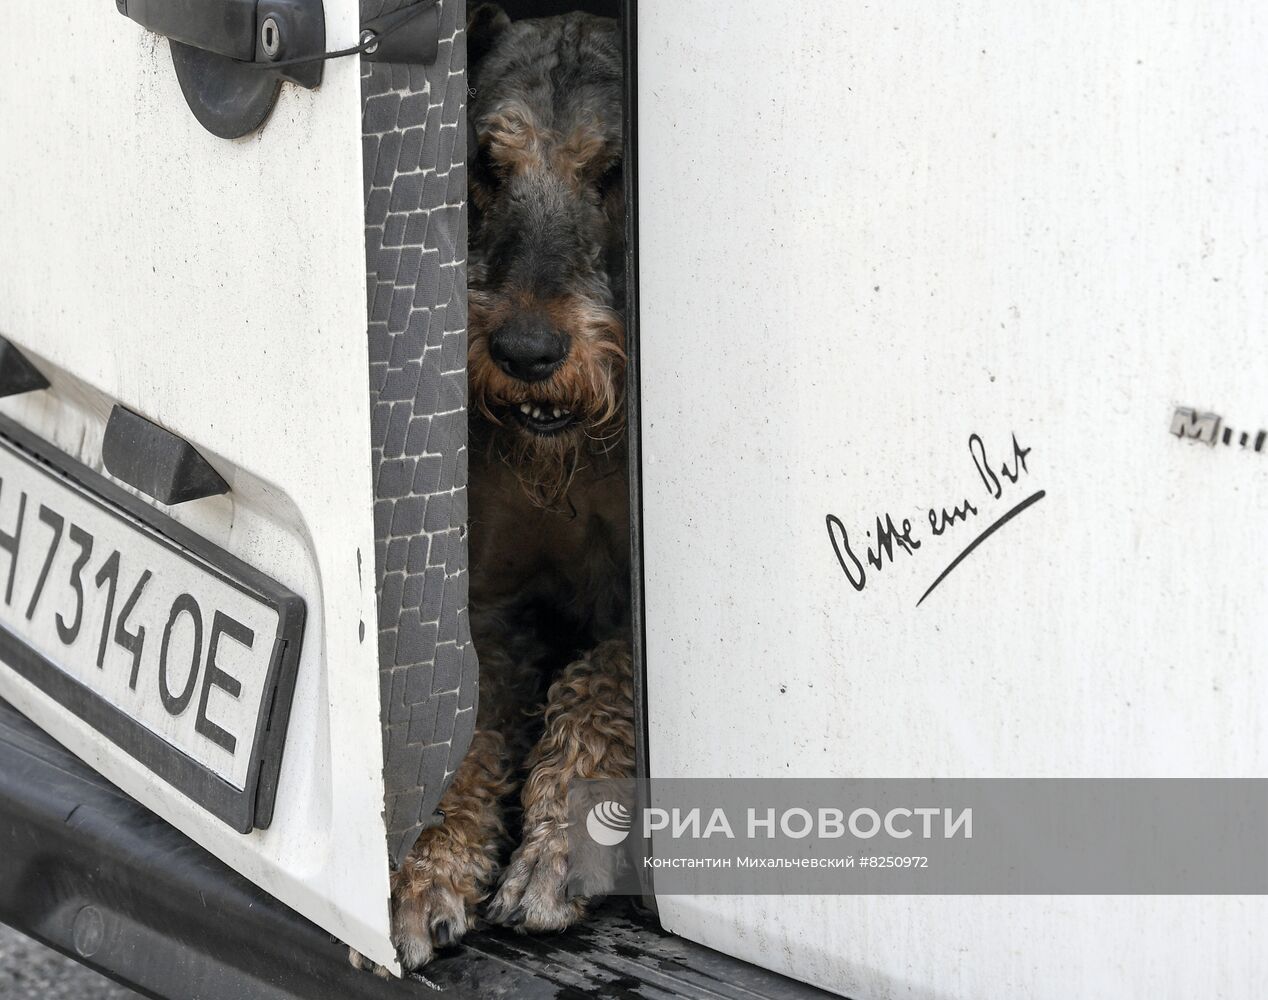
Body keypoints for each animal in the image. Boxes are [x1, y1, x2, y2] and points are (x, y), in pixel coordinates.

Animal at [370, 3, 639, 973]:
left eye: (615, 168)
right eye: (486, 165)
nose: (526, 354)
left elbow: (597, 685)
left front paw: (557, 855)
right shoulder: (487, 606)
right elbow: (459, 727)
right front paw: (426, 868)